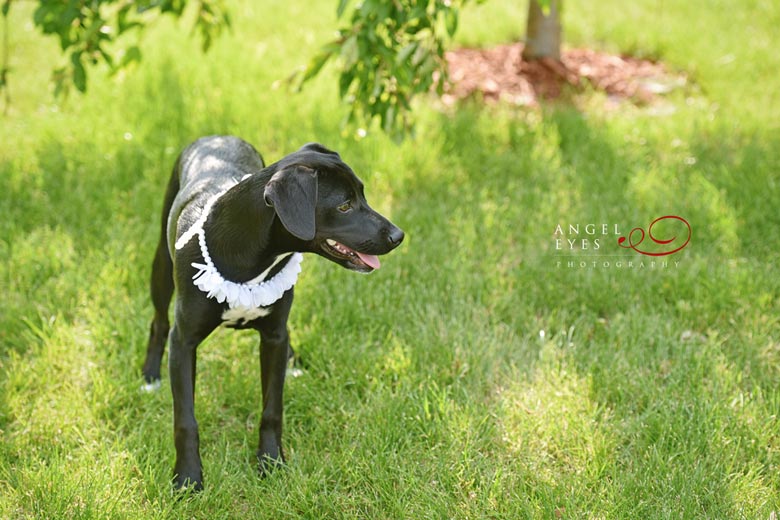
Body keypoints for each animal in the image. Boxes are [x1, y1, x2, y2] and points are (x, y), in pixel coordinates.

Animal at [141, 136, 406, 490]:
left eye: (362, 194)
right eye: (344, 206)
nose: (398, 236)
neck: (247, 255)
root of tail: (218, 137)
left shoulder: (274, 336)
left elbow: (272, 408)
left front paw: (270, 461)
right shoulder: (184, 342)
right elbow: (185, 420)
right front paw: (187, 477)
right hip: (161, 265)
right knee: (158, 321)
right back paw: (150, 374)